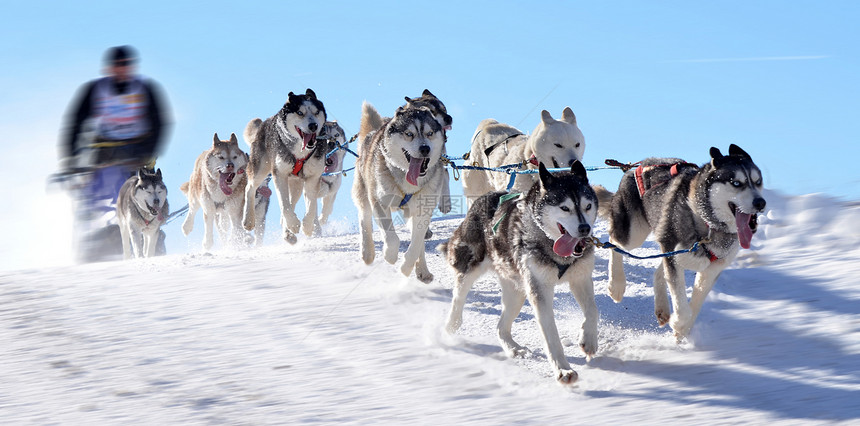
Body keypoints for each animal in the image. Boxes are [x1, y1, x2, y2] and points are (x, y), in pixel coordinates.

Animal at [242, 88, 330, 245]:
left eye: (316, 112)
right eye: (300, 112)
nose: (313, 125)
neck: (300, 152)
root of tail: (265, 122)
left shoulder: (313, 177)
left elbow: (311, 205)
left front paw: (307, 227)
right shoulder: (280, 175)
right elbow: (284, 204)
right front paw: (294, 224)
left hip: (296, 184)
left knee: (292, 203)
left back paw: (288, 233)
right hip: (260, 169)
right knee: (250, 188)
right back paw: (249, 220)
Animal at [352, 105, 446, 282]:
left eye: (430, 133)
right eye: (409, 134)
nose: (425, 148)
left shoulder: (423, 212)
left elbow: (416, 245)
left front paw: (406, 268)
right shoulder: (379, 202)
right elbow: (392, 238)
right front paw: (390, 256)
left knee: (419, 242)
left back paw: (422, 270)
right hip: (364, 193)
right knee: (364, 219)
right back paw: (368, 252)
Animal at [444, 161, 596, 384]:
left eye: (588, 206)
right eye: (565, 207)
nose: (585, 228)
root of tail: (485, 198)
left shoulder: (581, 278)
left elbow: (592, 311)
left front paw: (589, 340)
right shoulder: (540, 291)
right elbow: (551, 336)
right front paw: (563, 369)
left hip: (517, 293)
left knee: (501, 327)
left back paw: (513, 348)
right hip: (470, 269)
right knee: (458, 298)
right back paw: (450, 327)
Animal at [596, 145, 768, 338]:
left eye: (758, 181)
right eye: (736, 183)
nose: (760, 203)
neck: (707, 222)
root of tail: (635, 167)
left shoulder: (711, 269)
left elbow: (695, 303)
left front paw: (682, 332)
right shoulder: (674, 255)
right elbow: (681, 302)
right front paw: (679, 323)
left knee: (658, 272)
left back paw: (662, 307)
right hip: (635, 234)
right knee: (614, 242)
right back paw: (616, 285)